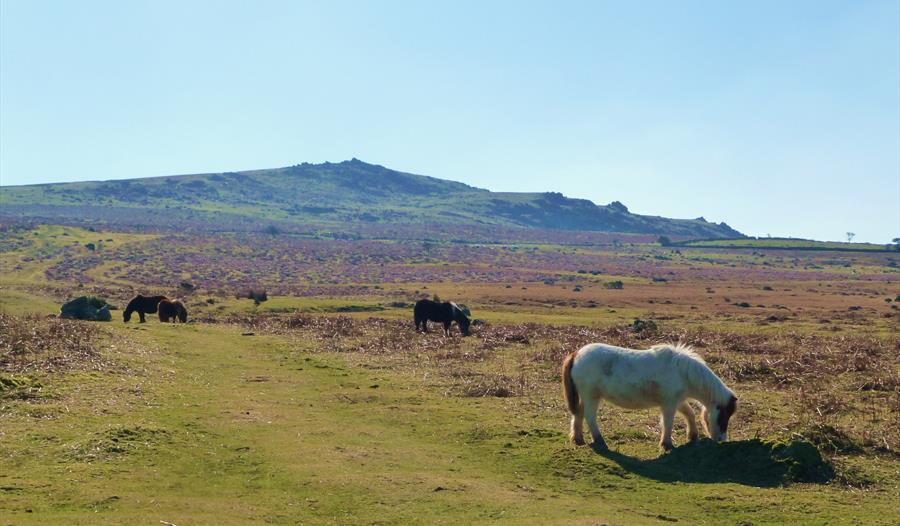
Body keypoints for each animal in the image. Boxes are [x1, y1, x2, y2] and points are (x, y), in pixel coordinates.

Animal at [564, 342, 740, 454]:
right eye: (724, 417)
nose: (722, 440)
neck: (683, 372)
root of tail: (576, 354)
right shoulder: (669, 403)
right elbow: (668, 423)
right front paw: (667, 445)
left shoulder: (678, 401)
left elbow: (689, 414)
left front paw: (692, 436)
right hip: (591, 396)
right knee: (589, 417)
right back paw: (599, 440)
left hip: (585, 397)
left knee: (578, 414)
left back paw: (578, 439)